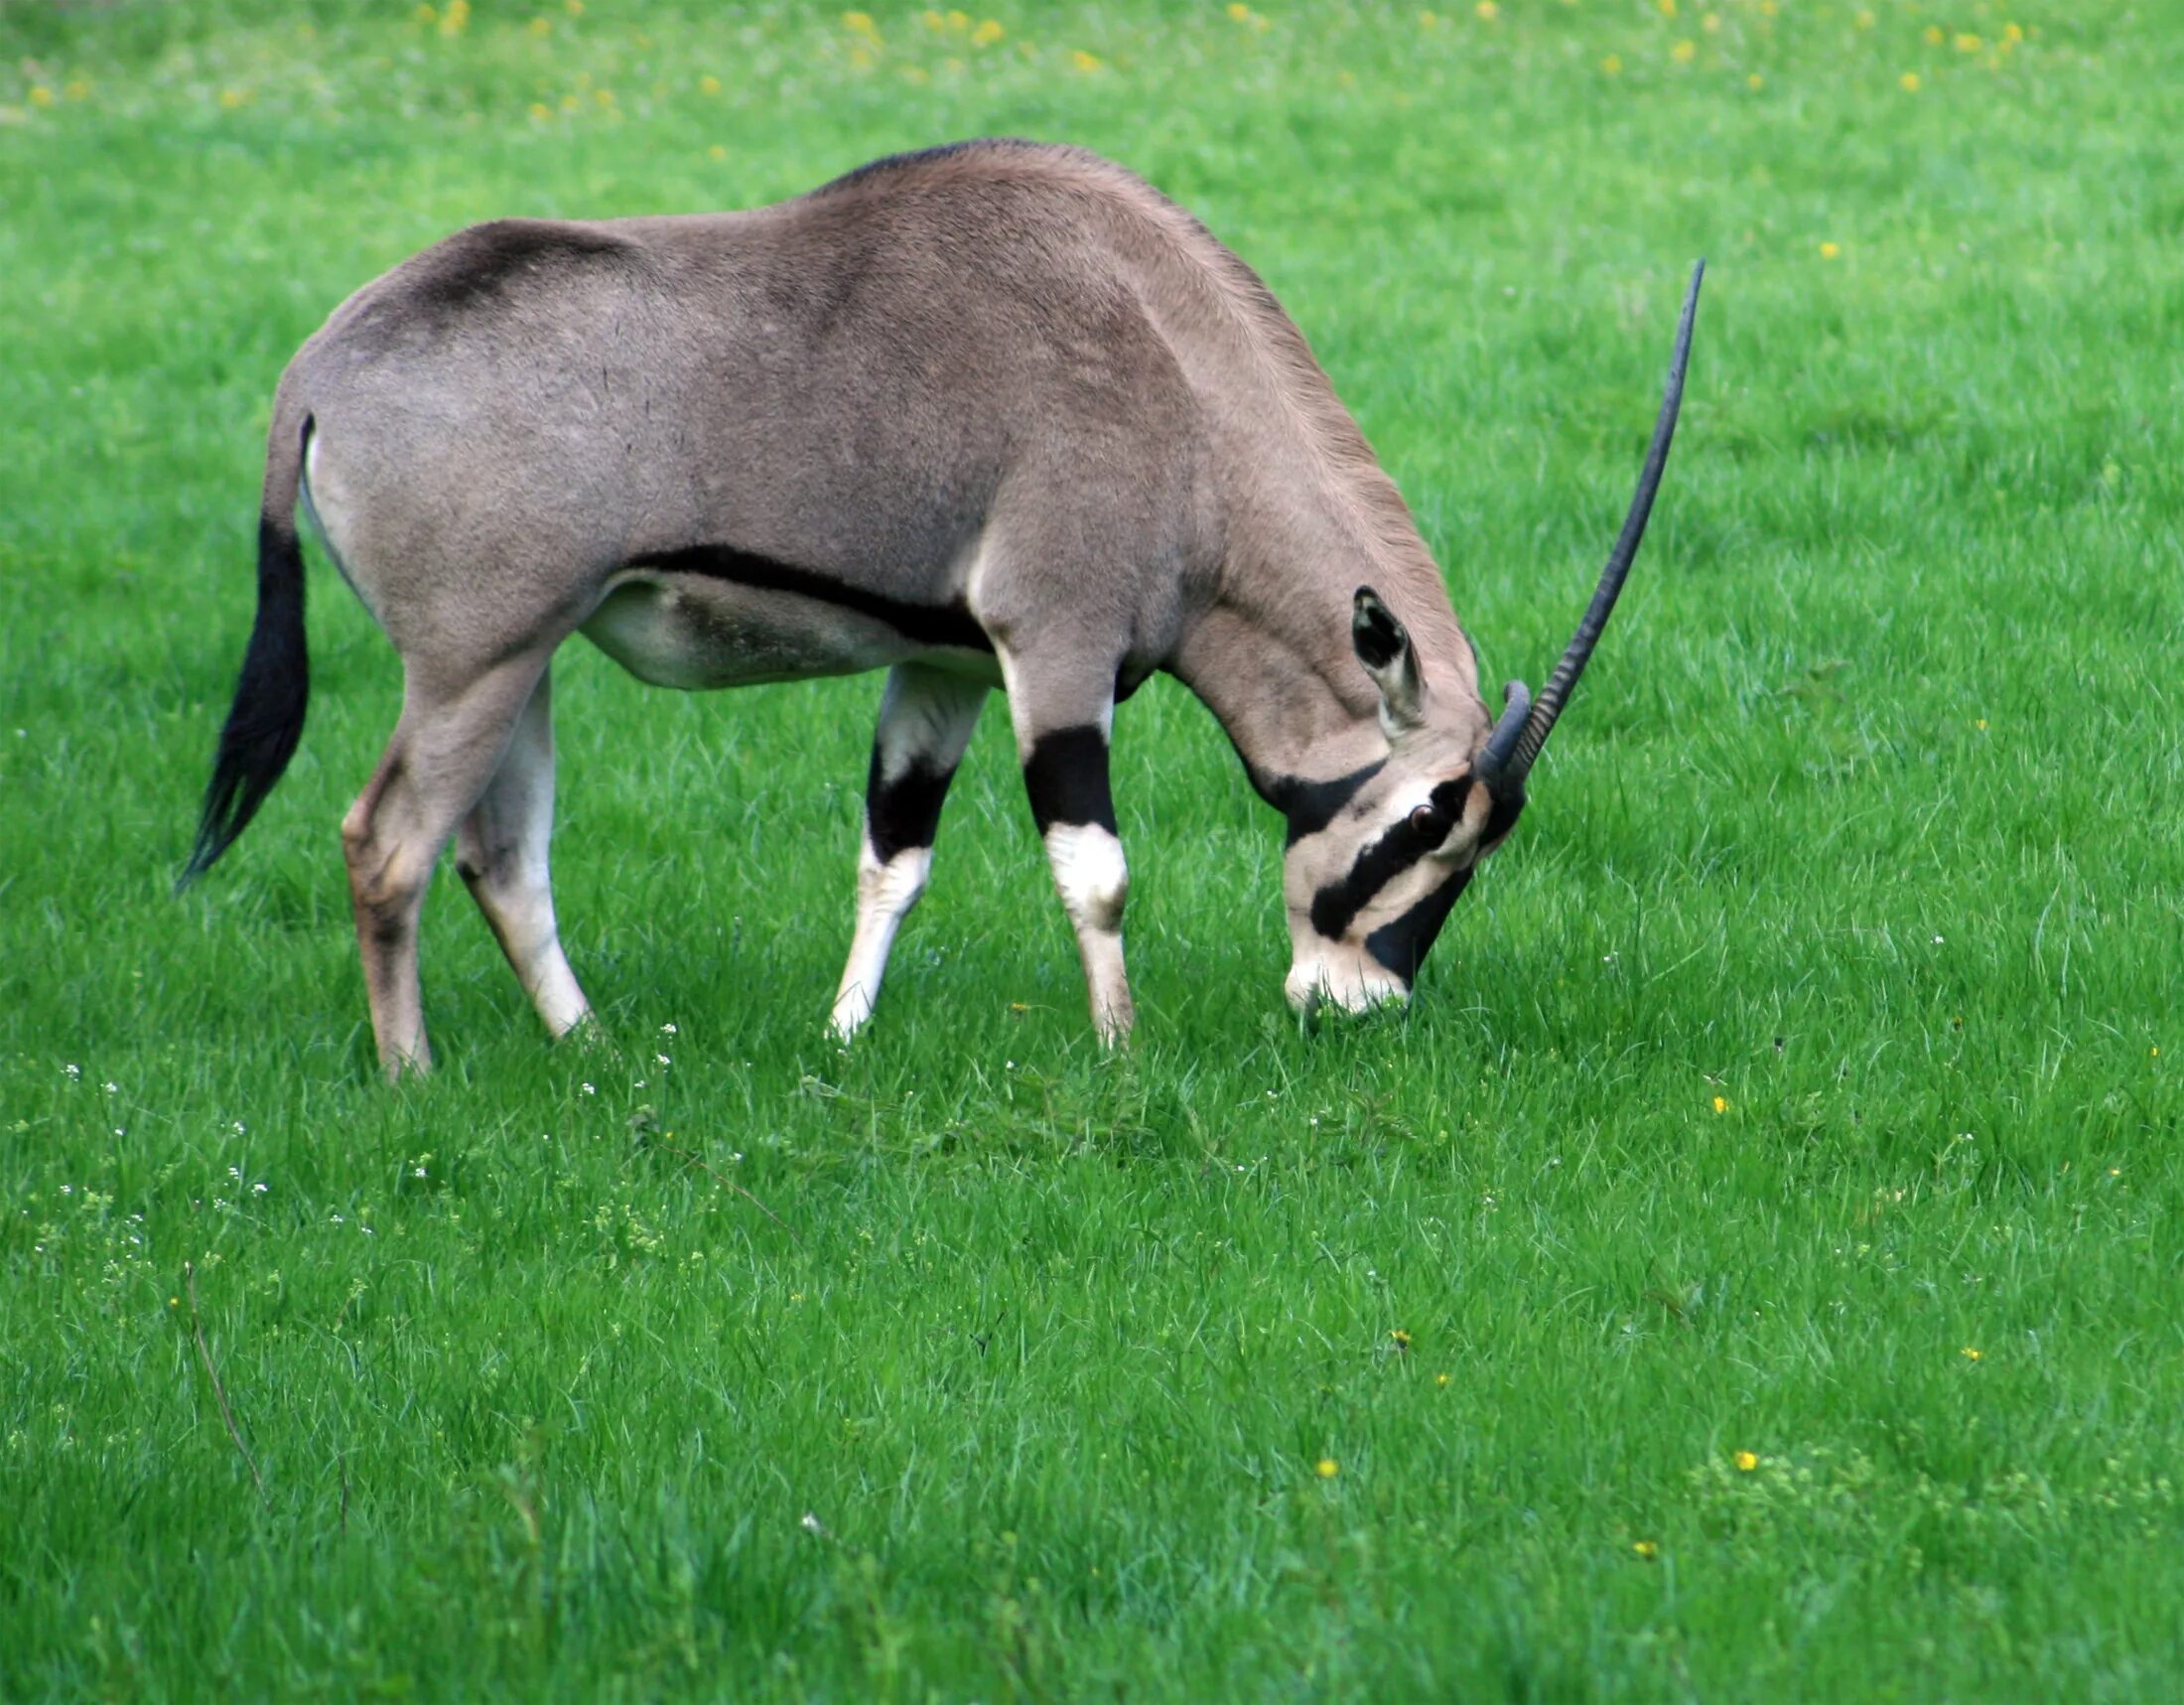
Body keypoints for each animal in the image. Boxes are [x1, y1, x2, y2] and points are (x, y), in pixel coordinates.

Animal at [179, 139, 1695, 1070]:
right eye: (1432, 822)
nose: (1358, 1004)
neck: (1178, 386)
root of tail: (319, 365)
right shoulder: (1055, 653)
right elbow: (1097, 868)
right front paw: (1121, 1052)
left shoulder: (947, 671)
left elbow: (892, 855)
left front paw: (843, 1039)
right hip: (470, 663)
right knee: (388, 845)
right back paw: (415, 1075)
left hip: (528, 663)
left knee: (501, 859)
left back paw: (591, 1048)